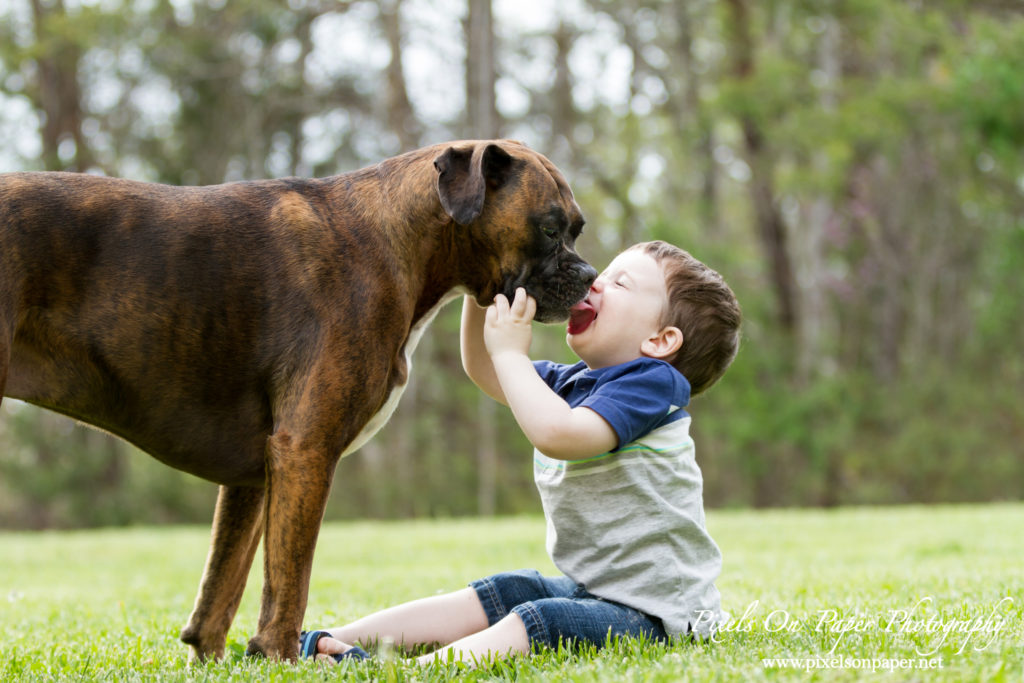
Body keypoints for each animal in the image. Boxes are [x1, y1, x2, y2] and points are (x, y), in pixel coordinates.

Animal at [0, 140, 598, 663]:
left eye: (577, 230)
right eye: (549, 228)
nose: (590, 275)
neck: (398, 238)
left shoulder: (253, 477)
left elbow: (223, 586)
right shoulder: (305, 452)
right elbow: (289, 581)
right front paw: (283, 657)